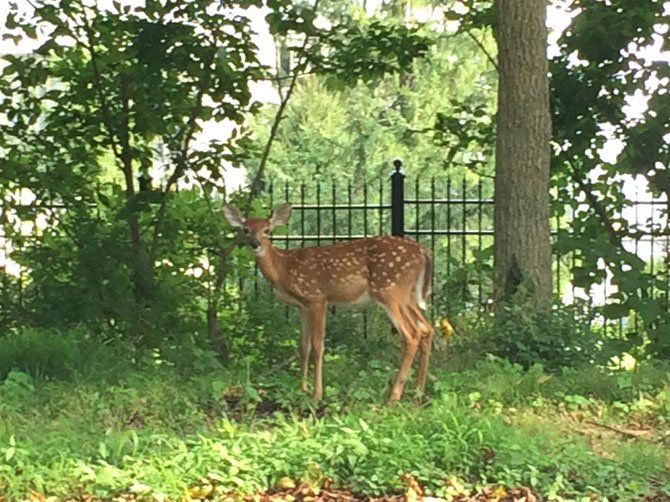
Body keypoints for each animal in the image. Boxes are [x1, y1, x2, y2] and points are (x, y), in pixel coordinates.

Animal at [226, 202, 436, 402]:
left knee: (412, 334)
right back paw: (418, 394)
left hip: (389, 290)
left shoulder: (317, 298)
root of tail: (424, 251)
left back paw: (393, 398)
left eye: (267, 230)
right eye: (246, 229)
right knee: (427, 328)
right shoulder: (302, 306)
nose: (255, 244)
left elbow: (318, 346)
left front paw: (316, 395)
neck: (283, 268)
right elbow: (303, 345)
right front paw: (302, 389)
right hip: (408, 296)